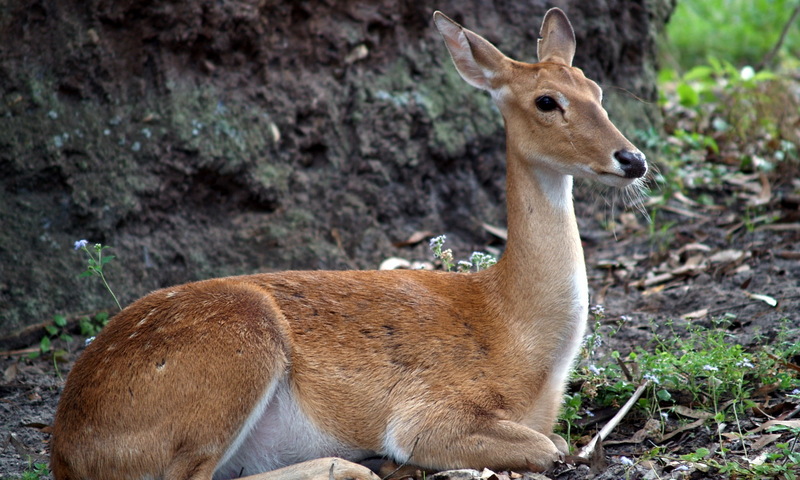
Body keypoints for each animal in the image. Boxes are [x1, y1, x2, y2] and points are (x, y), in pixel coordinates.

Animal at [50, 8, 648, 480]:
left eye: (597, 91)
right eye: (547, 101)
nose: (633, 159)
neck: (518, 333)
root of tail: (66, 450)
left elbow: (557, 439)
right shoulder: (429, 410)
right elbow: (550, 447)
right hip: (234, 353)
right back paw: (354, 465)